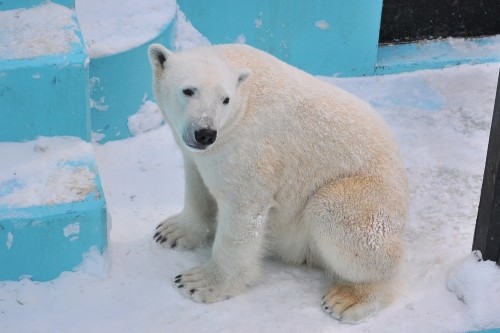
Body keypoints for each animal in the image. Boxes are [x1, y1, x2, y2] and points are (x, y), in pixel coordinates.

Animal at [148, 42, 410, 322]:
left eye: (225, 99)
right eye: (188, 90)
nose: (205, 133)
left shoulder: (250, 147)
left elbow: (243, 210)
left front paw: (202, 283)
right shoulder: (199, 150)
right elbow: (197, 181)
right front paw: (171, 231)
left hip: (366, 198)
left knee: (338, 217)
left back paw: (349, 298)